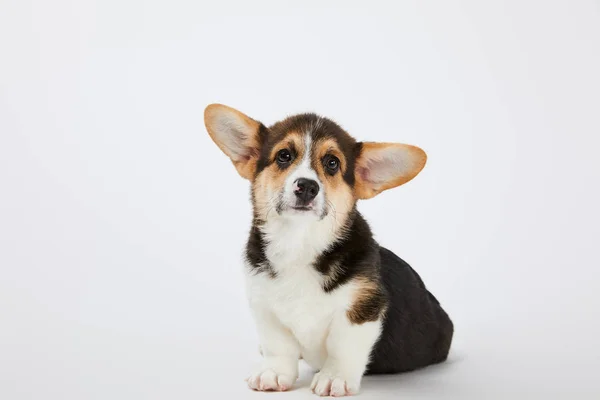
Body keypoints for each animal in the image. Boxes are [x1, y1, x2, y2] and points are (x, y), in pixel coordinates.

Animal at [204, 104, 452, 396]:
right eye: (284, 156)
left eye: (332, 163)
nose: (307, 186)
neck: (299, 242)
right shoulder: (264, 305)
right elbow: (278, 345)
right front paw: (274, 372)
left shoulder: (363, 308)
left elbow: (342, 345)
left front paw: (335, 377)